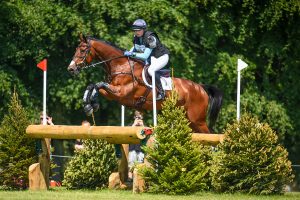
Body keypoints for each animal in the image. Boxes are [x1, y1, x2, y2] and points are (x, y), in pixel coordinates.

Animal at [68, 34, 223, 133]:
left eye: (82, 50)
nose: (71, 69)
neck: (121, 65)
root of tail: (200, 88)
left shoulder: (121, 92)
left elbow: (98, 84)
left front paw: (89, 105)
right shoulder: (113, 94)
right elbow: (94, 86)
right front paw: (90, 105)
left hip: (197, 120)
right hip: (188, 120)